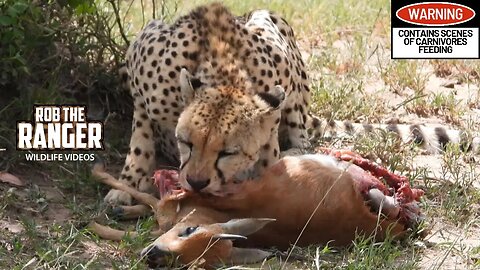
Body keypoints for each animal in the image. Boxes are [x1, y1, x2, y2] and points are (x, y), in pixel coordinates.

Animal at [106, 2, 480, 205]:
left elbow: (270, 150)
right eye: (187, 143)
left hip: (278, 36)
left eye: (228, 152)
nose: (197, 183)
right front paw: (127, 185)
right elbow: (140, 142)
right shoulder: (140, 64)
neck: (221, 73)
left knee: (302, 137)